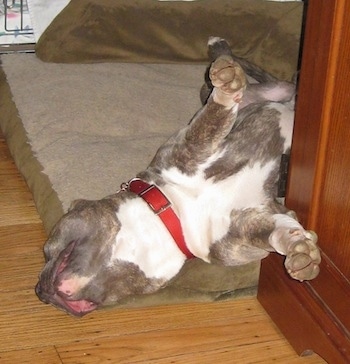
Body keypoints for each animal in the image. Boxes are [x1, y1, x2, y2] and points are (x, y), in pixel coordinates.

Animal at [34, 36, 320, 316]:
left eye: (47, 251)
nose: (39, 292)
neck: (177, 210)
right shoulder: (244, 231)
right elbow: (276, 230)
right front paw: (300, 250)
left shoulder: (191, 147)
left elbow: (213, 118)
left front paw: (226, 87)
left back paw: (222, 55)